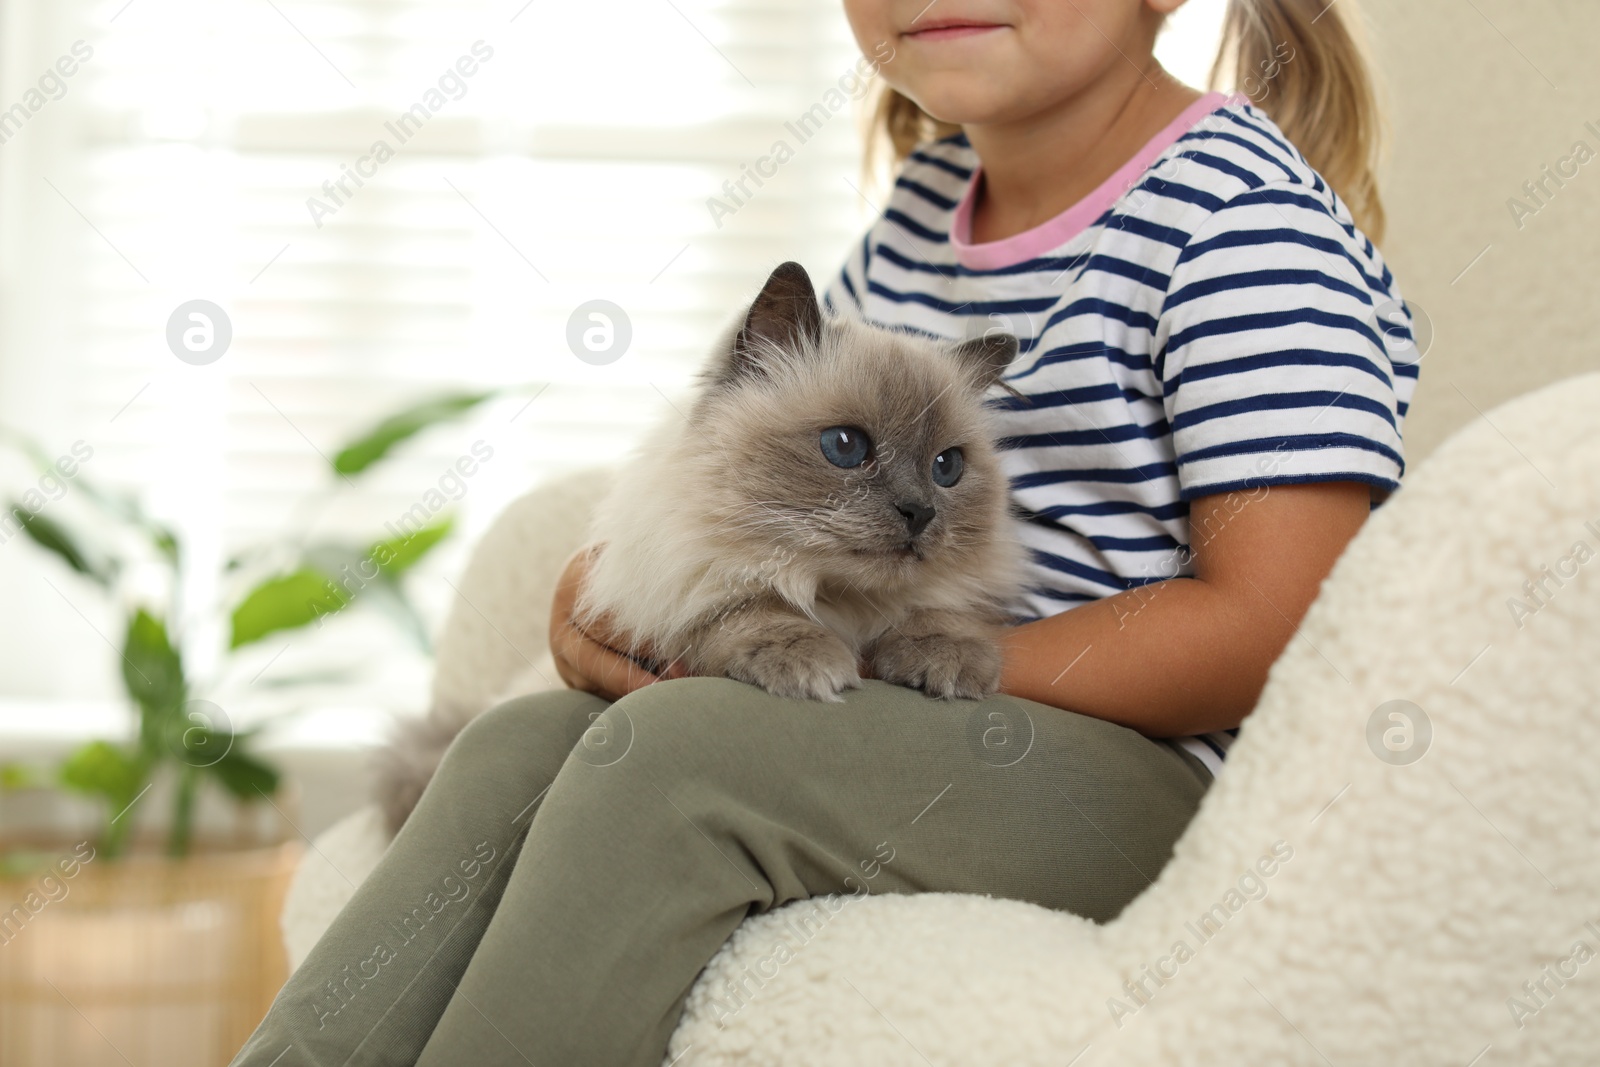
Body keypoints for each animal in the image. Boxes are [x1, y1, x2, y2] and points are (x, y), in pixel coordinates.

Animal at [576, 260, 1024, 700]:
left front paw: (951, 659)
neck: (842, 602)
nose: (919, 511)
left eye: (946, 467)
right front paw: (806, 660)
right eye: (845, 446)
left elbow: (936, 611)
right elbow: (750, 610)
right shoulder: (685, 581)